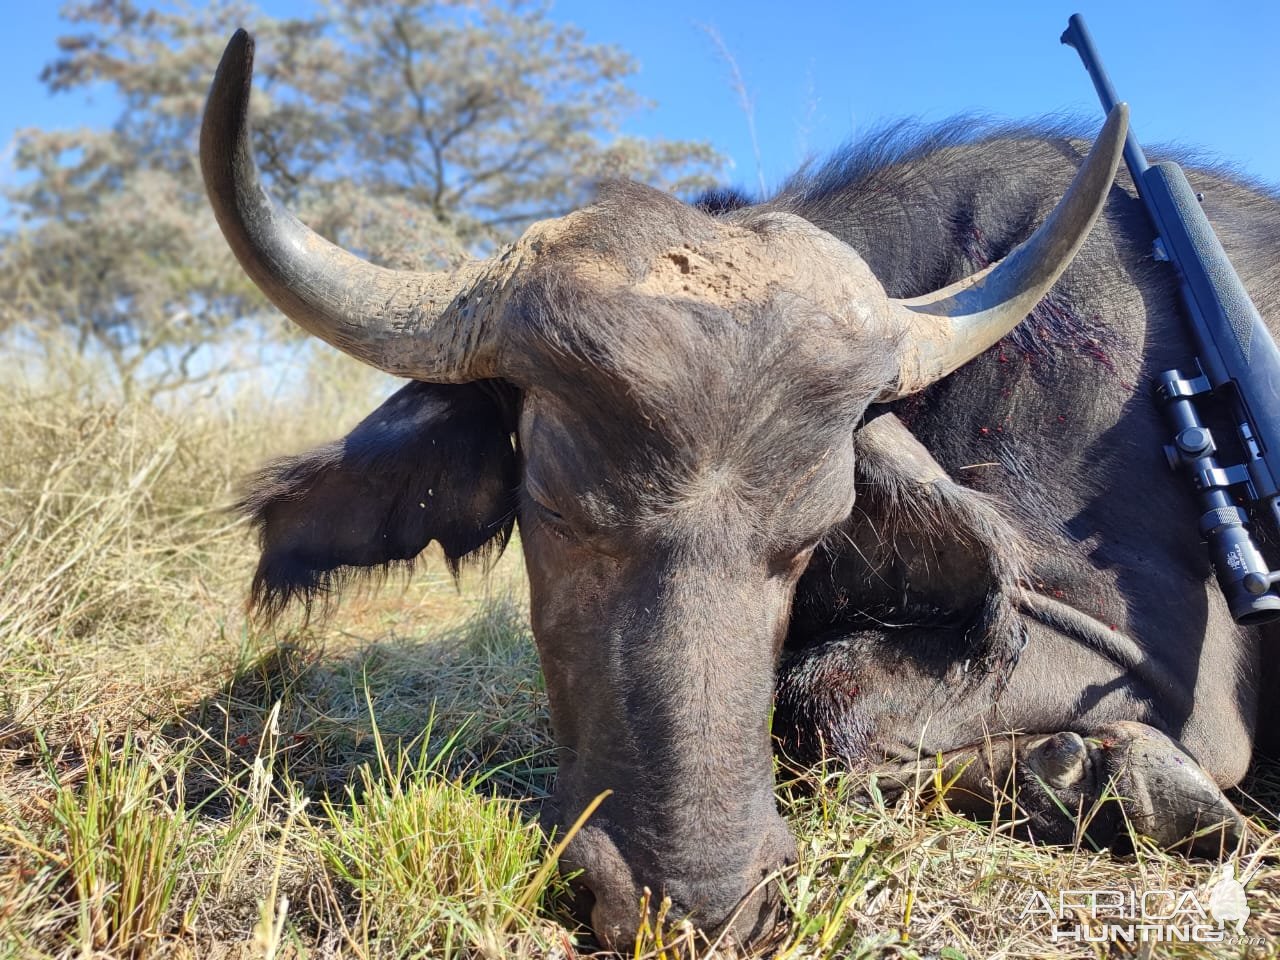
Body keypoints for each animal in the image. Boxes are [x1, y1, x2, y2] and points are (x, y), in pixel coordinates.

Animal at [199, 30, 1280, 957]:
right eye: (555, 511)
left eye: (812, 533)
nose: (698, 904)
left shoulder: (1148, 669)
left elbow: (824, 693)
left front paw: (1117, 777)